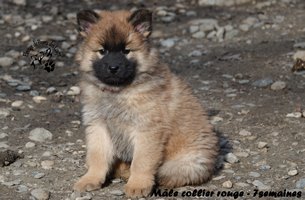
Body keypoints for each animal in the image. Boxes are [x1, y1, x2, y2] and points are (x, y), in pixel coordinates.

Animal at [72, 8, 217, 198]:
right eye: (102, 51)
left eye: (126, 51)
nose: (113, 68)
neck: (118, 92)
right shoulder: (98, 125)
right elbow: (97, 157)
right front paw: (90, 179)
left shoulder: (147, 130)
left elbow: (141, 161)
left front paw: (138, 185)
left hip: (185, 163)